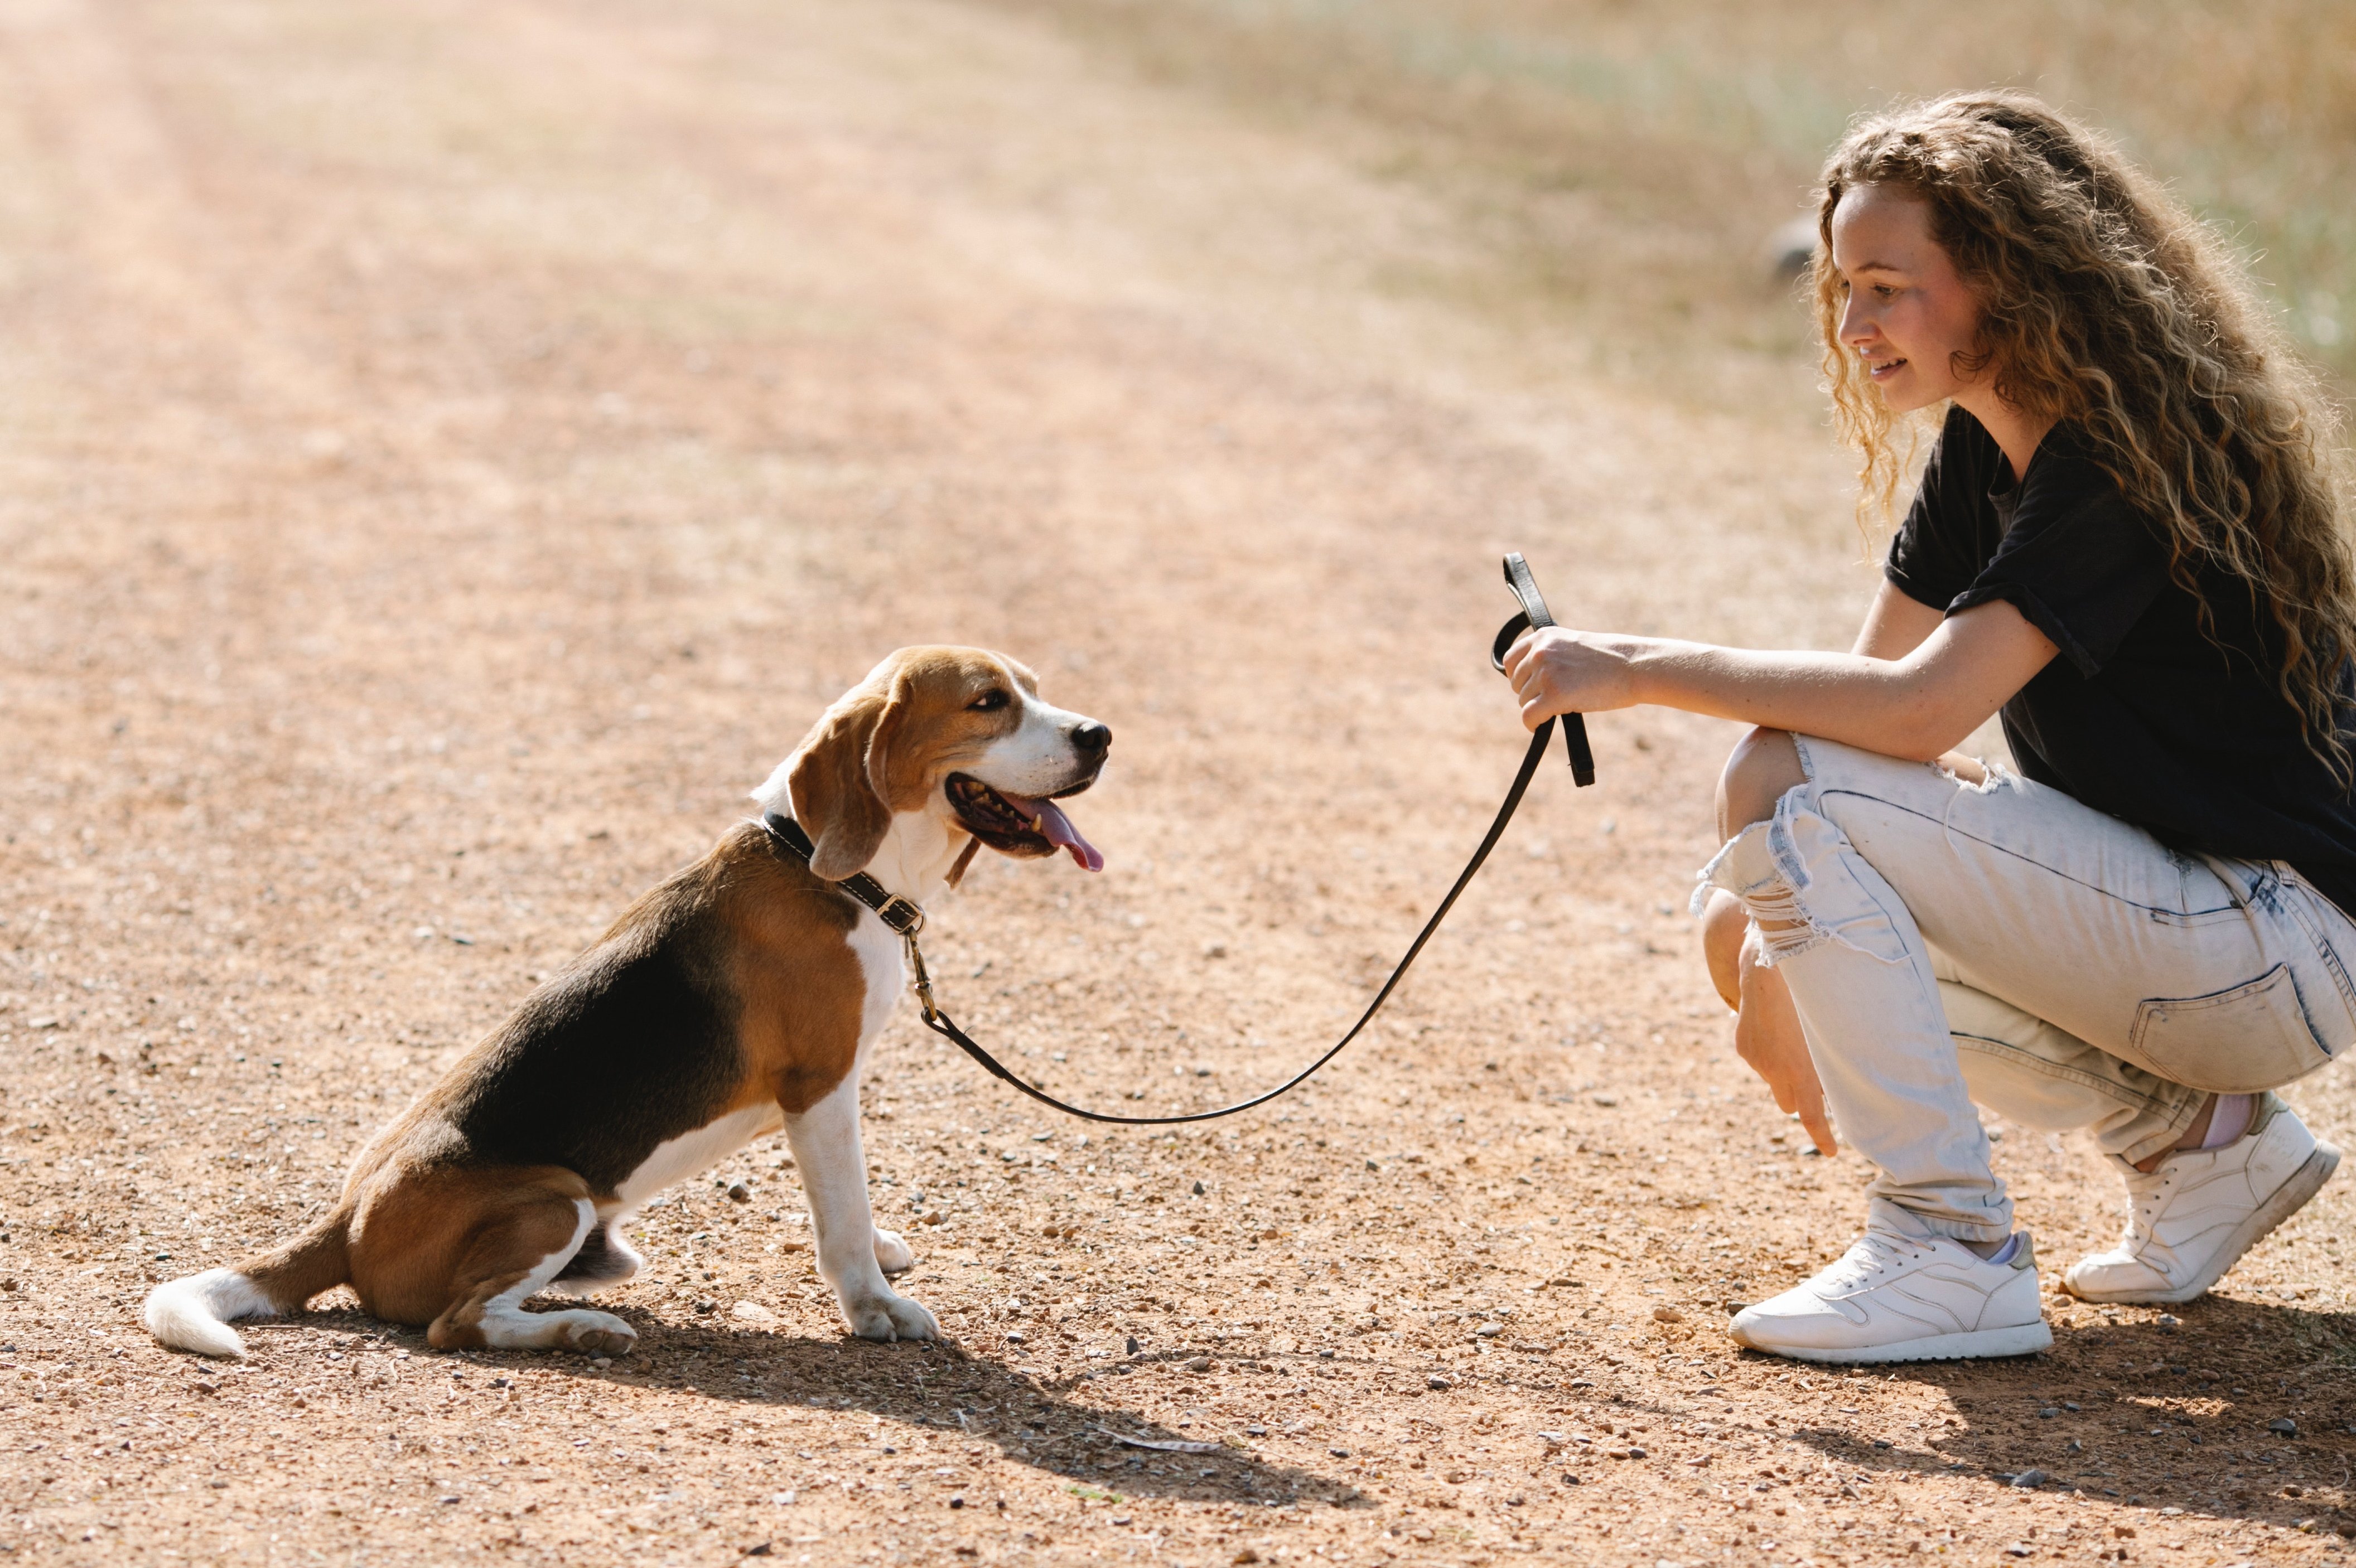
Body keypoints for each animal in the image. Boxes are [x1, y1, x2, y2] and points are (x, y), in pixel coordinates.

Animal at [142, 640, 1107, 1347]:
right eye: (988, 703)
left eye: (1033, 689)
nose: (1099, 734)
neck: (825, 867)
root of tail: (343, 1223)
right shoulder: (822, 1089)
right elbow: (844, 1212)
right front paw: (875, 1308)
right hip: (554, 1200)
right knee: (461, 1326)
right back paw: (577, 1331)